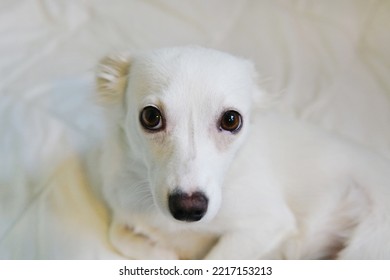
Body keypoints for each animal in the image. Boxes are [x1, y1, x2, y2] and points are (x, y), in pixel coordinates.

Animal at [93, 46, 390, 260]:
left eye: (231, 120)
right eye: (151, 116)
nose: (188, 209)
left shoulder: (267, 224)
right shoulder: (123, 209)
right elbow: (116, 234)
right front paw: (163, 254)